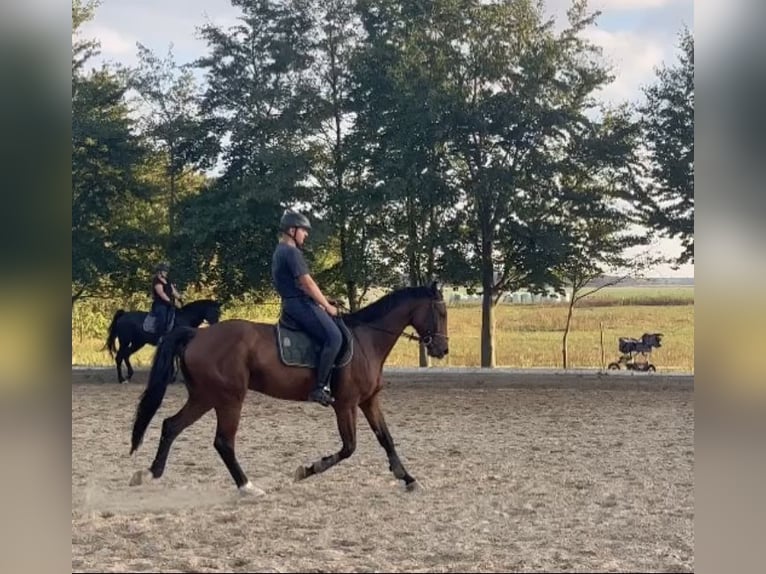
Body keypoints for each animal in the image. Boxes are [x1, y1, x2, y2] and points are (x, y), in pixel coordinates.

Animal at [127, 282, 450, 496]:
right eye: (441, 312)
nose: (442, 349)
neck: (366, 341)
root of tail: (197, 334)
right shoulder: (345, 404)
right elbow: (349, 447)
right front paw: (307, 470)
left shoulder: (369, 401)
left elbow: (386, 439)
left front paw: (407, 478)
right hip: (229, 398)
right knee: (223, 442)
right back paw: (247, 486)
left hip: (205, 396)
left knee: (171, 426)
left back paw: (150, 473)